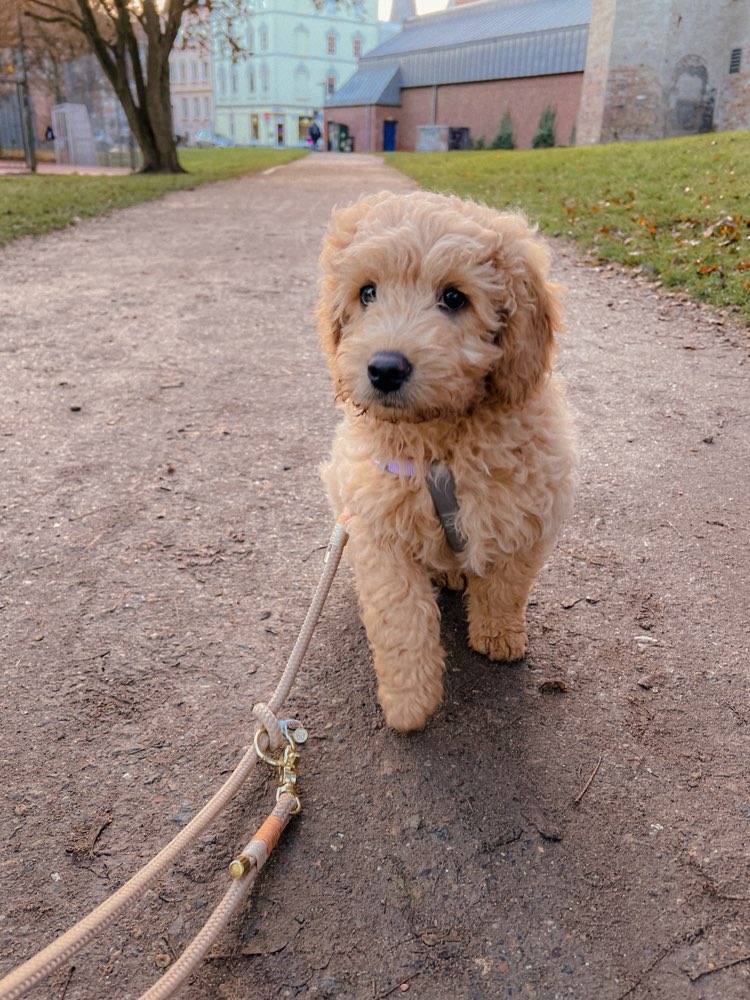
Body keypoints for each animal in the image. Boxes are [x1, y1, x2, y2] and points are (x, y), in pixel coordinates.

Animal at [320, 189, 580, 736]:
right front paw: (408, 703)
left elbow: (505, 586)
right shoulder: (378, 528)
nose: (384, 368)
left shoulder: (527, 511)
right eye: (367, 292)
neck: (441, 445)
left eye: (455, 298)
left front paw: (498, 638)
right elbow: (401, 617)